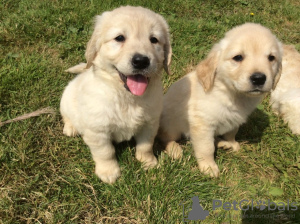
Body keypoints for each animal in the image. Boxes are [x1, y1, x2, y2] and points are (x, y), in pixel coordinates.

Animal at [59, 5, 171, 184]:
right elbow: (105, 153)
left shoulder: (150, 123)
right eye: (119, 38)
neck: (126, 97)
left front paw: (148, 162)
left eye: (154, 40)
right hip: (66, 99)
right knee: (66, 115)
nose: (141, 61)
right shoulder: (98, 131)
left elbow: (145, 145)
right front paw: (108, 172)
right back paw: (70, 128)